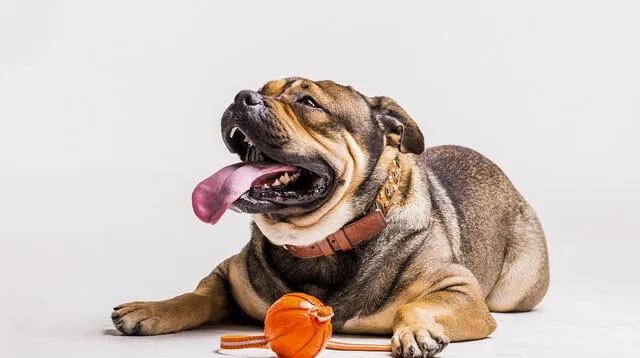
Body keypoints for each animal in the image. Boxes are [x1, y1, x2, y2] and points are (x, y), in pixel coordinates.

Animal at [111, 77, 552, 356]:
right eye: (261, 88)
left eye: (308, 102)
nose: (242, 96)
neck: (319, 241)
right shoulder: (226, 275)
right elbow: (195, 296)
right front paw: (150, 309)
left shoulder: (460, 289)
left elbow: (414, 306)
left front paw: (417, 330)